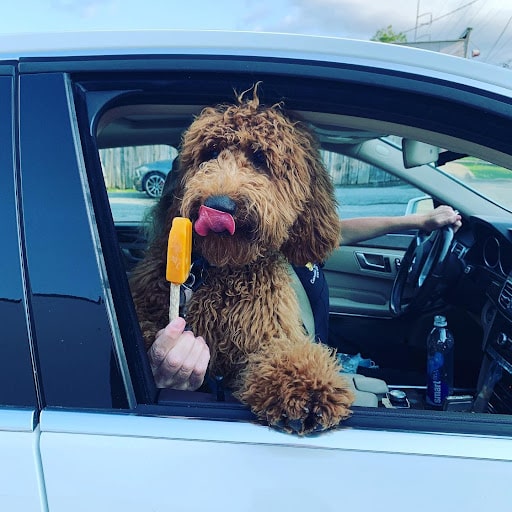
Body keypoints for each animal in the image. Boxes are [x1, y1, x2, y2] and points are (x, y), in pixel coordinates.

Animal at [129, 86, 352, 434]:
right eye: (210, 152)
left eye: (260, 158)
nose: (218, 206)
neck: (222, 271)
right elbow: (144, 327)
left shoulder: (265, 333)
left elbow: (281, 352)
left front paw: (308, 391)